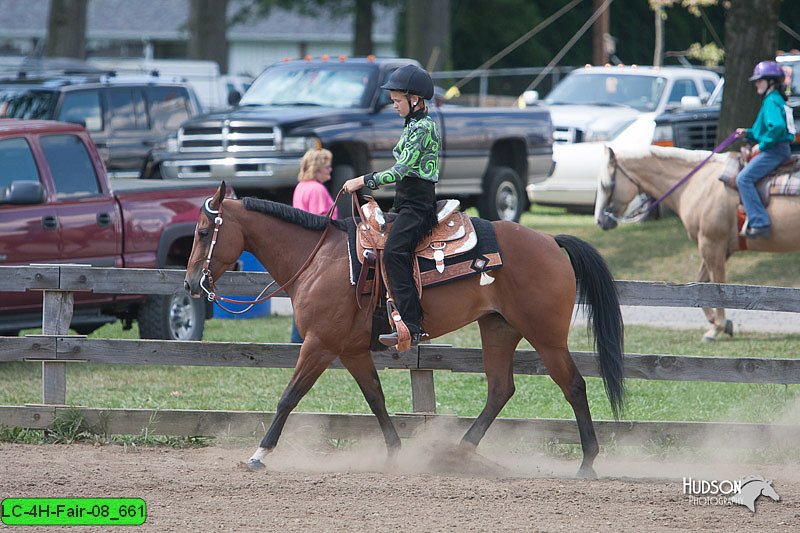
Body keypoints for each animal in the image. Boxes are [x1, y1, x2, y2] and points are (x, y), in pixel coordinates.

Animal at [183, 181, 624, 476]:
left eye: (203, 232)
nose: (189, 285)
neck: (319, 259)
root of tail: (551, 241)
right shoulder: (351, 350)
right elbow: (375, 398)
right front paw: (395, 453)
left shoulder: (319, 344)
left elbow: (289, 397)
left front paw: (259, 455)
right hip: (498, 328)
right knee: (501, 389)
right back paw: (457, 453)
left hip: (546, 335)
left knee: (573, 386)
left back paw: (587, 463)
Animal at [596, 143, 800, 338]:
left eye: (606, 184)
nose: (599, 220)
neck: (697, 183)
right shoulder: (719, 248)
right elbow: (701, 283)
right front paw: (720, 324)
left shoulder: (711, 243)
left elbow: (717, 285)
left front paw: (717, 327)